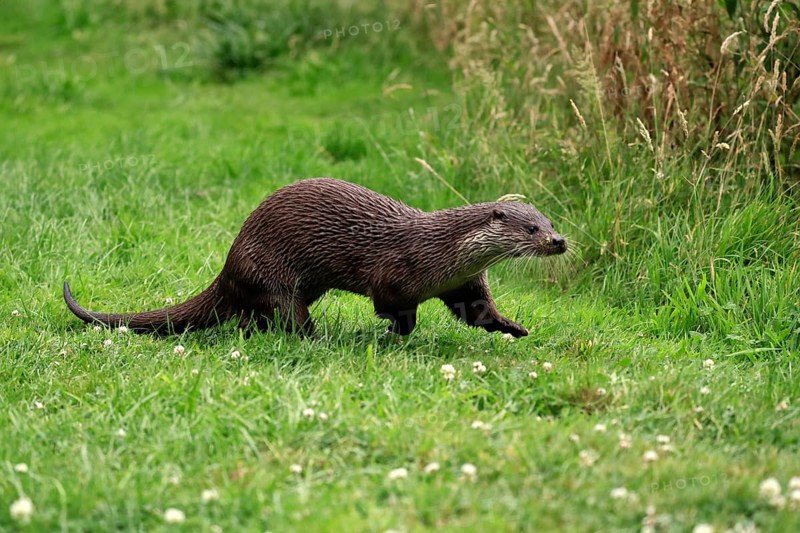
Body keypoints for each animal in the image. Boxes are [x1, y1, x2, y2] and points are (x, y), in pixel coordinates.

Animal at [64, 178, 566, 337]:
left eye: (550, 220)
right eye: (530, 228)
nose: (559, 241)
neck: (441, 252)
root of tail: (228, 265)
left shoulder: (464, 281)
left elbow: (478, 312)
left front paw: (513, 327)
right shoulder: (395, 273)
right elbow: (393, 308)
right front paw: (394, 333)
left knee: (250, 315)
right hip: (271, 272)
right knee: (285, 313)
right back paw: (316, 335)